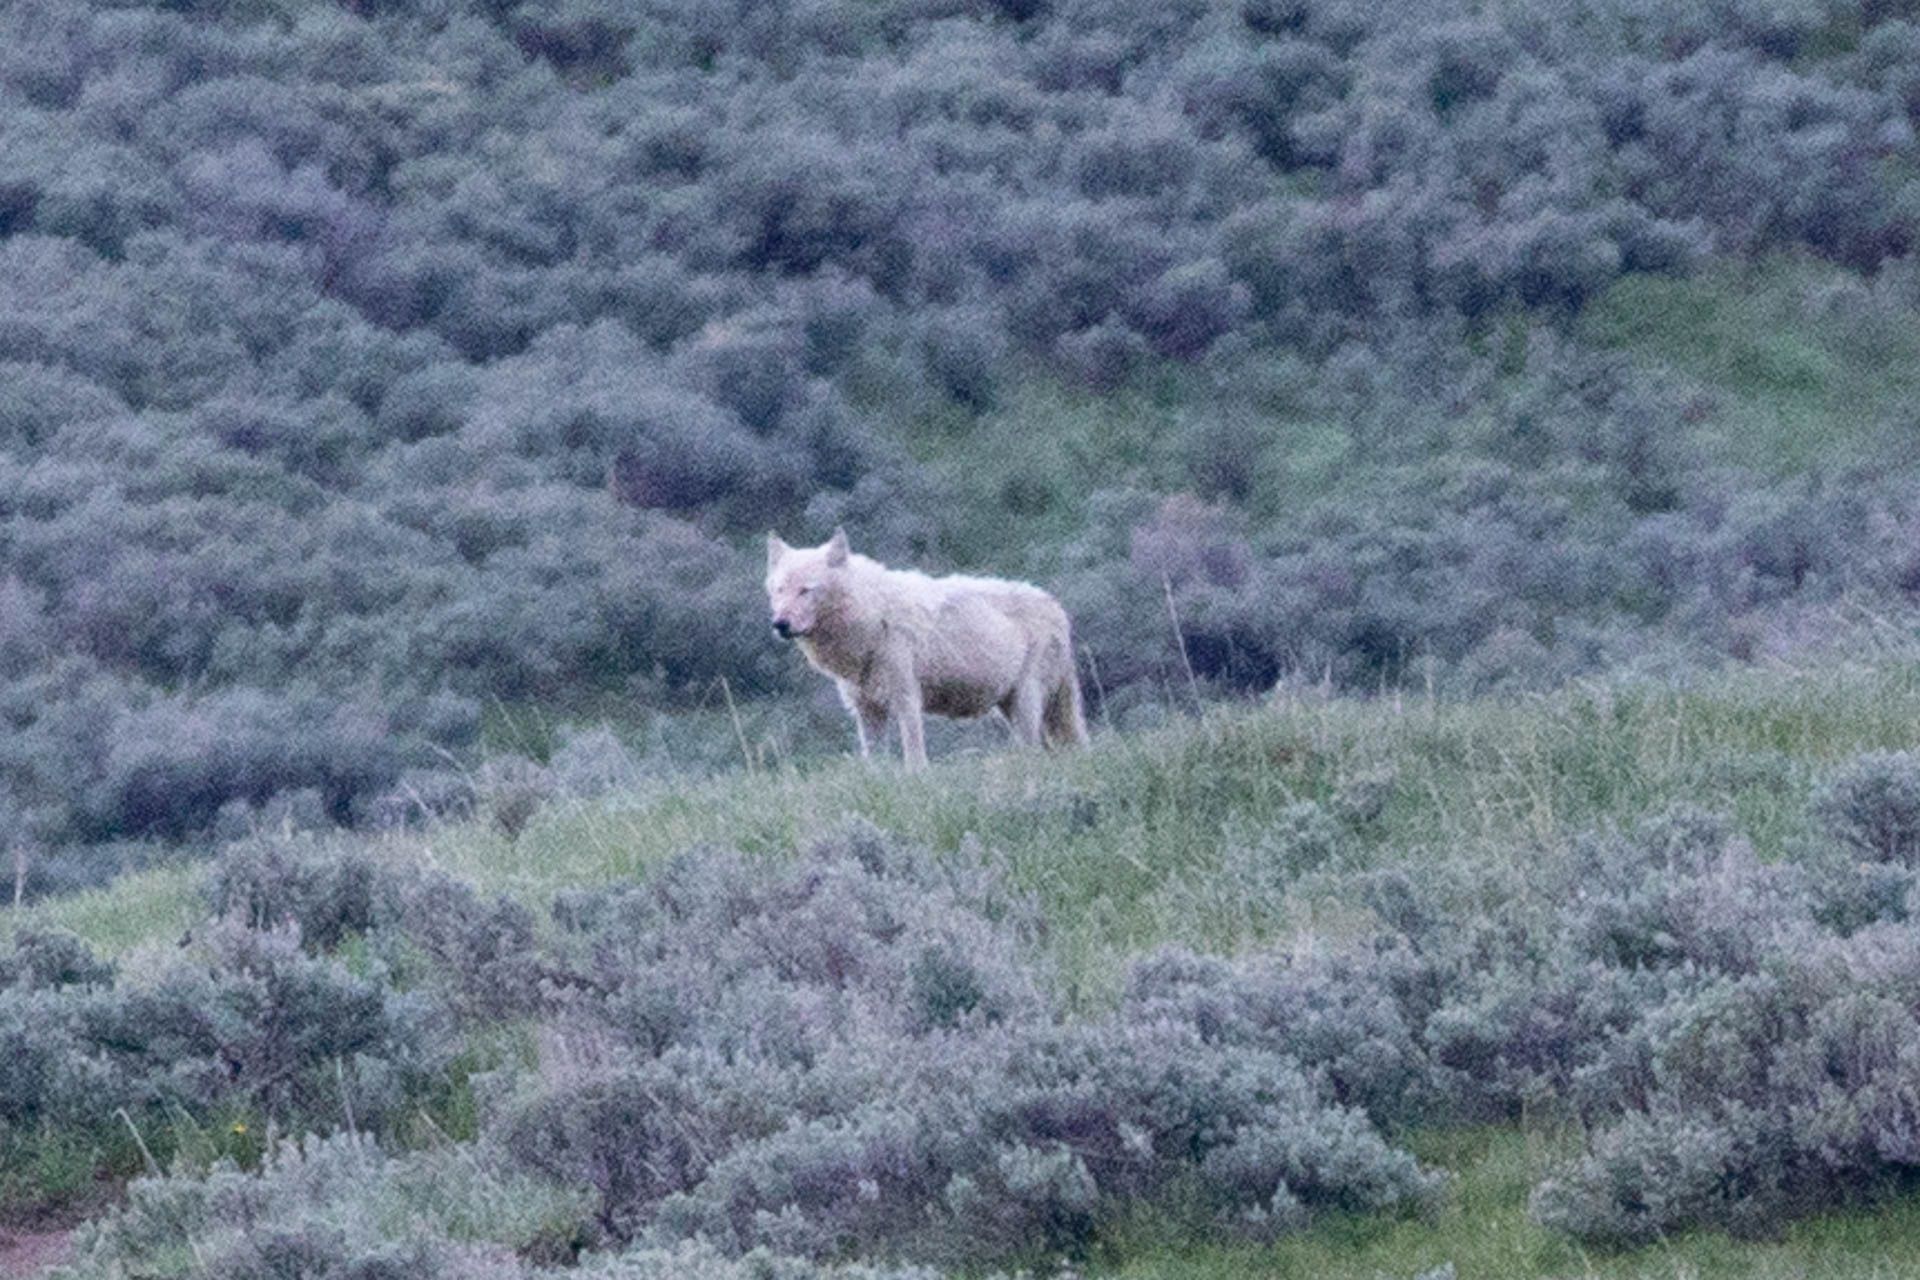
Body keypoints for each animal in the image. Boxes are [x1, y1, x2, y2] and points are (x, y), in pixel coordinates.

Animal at [766, 528, 1089, 770]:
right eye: (780, 590)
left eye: (805, 590)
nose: (780, 624)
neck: (874, 614)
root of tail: (1056, 607)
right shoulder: (867, 709)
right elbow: (874, 761)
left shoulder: (906, 698)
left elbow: (914, 756)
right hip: (1012, 708)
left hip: (1026, 705)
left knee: (1035, 751)